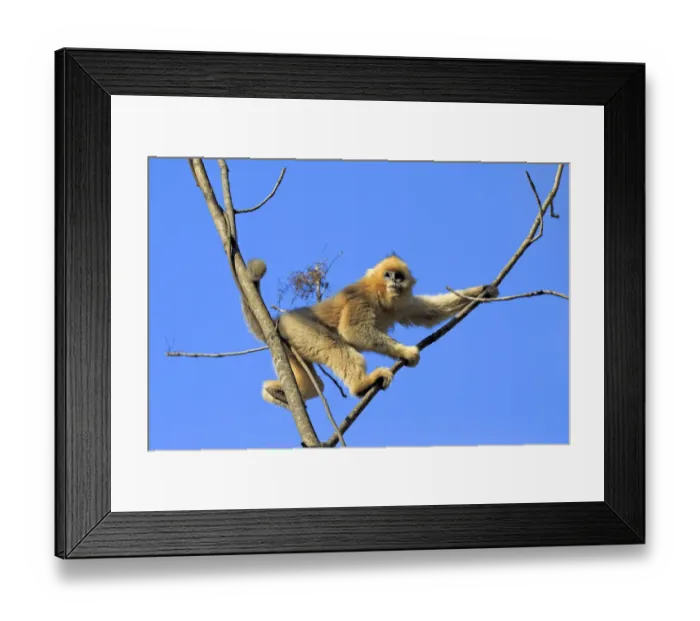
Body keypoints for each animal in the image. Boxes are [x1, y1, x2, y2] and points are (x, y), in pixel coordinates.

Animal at [242, 254, 499, 409]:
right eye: (387, 274)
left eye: (399, 276)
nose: (394, 281)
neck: (381, 296)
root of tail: (280, 318)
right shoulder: (361, 299)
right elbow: (351, 331)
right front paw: (406, 352)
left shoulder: (402, 305)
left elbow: (429, 313)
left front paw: (484, 290)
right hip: (300, 328)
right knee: (336, 348)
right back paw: (361, 385)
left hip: (287, 345)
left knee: (316, 384)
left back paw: (281, 392)